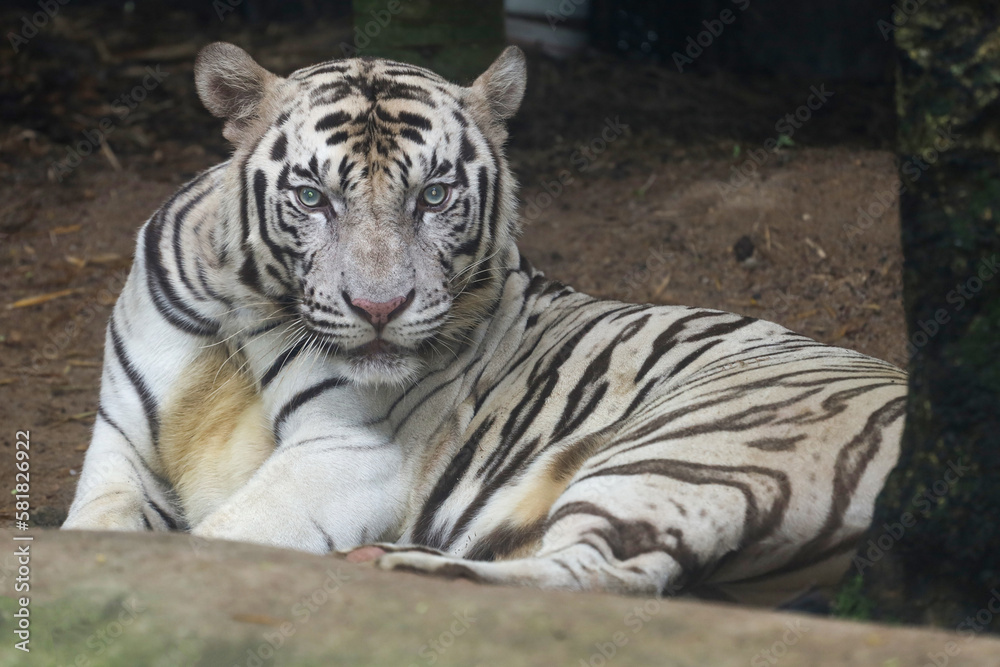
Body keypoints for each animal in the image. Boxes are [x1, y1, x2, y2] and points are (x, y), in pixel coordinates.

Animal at [63, 42, 907, 605]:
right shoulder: (121, 450)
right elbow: (87, 532)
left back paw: (399, 563)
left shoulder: (351, 449)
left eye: (434, 196)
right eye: (312, 197)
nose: (380, 309)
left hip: (695, 448)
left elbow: (223, 532)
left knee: (616, 576)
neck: (248, 303)